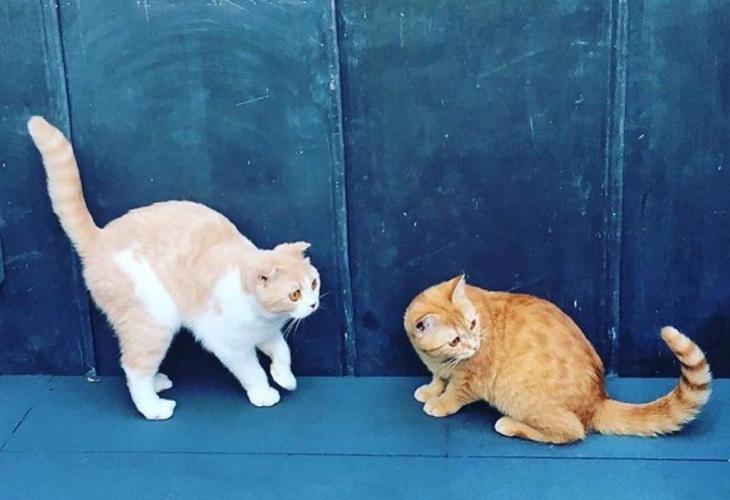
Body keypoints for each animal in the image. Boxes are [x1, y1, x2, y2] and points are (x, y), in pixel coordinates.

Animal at [28, 116, 321, 420]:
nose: (313, 304)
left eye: (314, 283)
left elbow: (282, 352)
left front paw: (285, 377)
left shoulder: (266, 333)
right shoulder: (228, 344)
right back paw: (153, 407)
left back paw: (157, 383)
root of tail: (99, 238)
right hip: (155, 321)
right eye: (295, 294)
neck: (262, 315)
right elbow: (252, 371)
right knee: (133, 367)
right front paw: (264, 392)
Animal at [404, 275, 711, 444]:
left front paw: (440, 403)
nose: (475, 344)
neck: (442, 360)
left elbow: (454, 393)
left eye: (473, 323)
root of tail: (598, 400)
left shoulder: (471, 379)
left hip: (518, 396)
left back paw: (511, 425)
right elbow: (438, 378)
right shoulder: (439, 367)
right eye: (455, 340)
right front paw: (430, 389)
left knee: (571, 431)